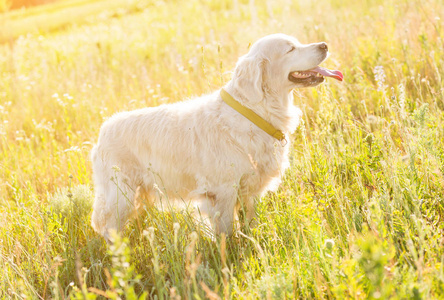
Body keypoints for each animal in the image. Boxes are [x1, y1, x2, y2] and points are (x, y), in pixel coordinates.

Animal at [89, 33, 340, 244]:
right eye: (290, 49)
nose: (325, 45)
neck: (255, 111)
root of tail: (102, 131)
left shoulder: (249, 190)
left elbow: (250, 222)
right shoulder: (222, 190)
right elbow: (226, 230)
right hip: (120, 195)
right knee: (107, 226)